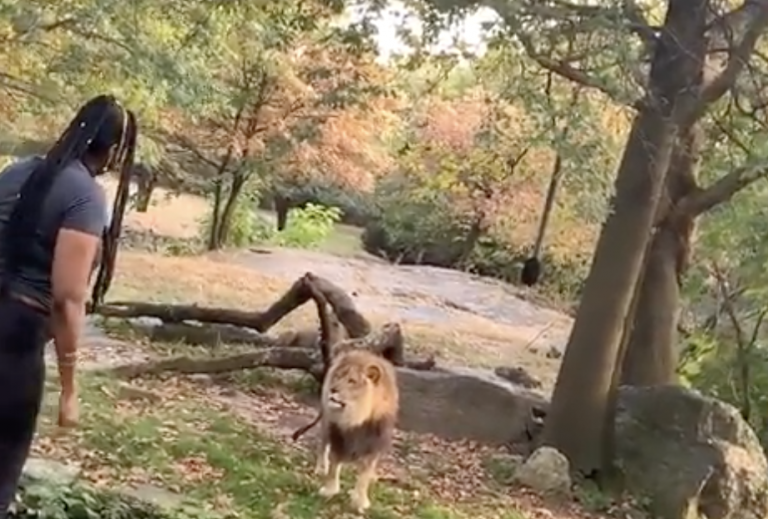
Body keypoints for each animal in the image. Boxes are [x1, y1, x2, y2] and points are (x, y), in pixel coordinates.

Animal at [314, 348, 400, 512]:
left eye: (351, 381)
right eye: (338, 376)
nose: (333, 390)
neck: (355, 418)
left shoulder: (372, 446)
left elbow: (364, 477)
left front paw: (359, 501)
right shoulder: (338, 438)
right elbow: (334, 467)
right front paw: (329, 490)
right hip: (325, 423)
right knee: (322, 447)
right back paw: (321, 468)